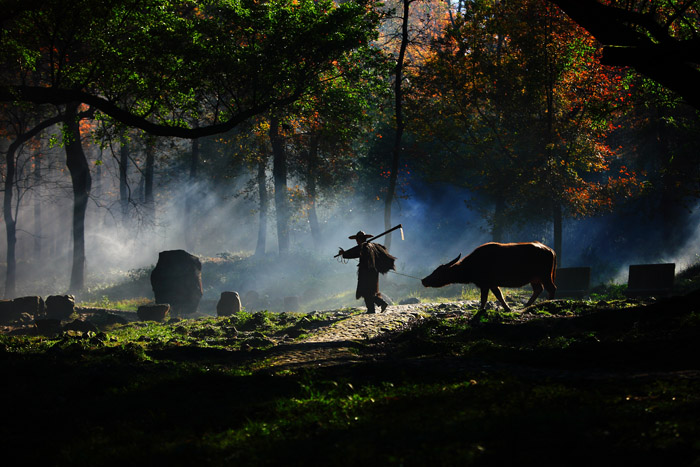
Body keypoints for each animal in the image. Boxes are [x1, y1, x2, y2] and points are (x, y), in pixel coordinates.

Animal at [422, 241, 556, 314]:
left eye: (438, 272)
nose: (424, 280)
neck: (471, 267)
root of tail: (551, 251)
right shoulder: (492, 283)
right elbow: (499, 295)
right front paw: (507, 308)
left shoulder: (485, 283)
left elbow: (484, 299)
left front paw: (480, 310)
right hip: (535, 278)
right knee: (538, 289)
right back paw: (526, 305)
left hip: (544, 275)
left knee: (551, 288)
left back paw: (549, 303)